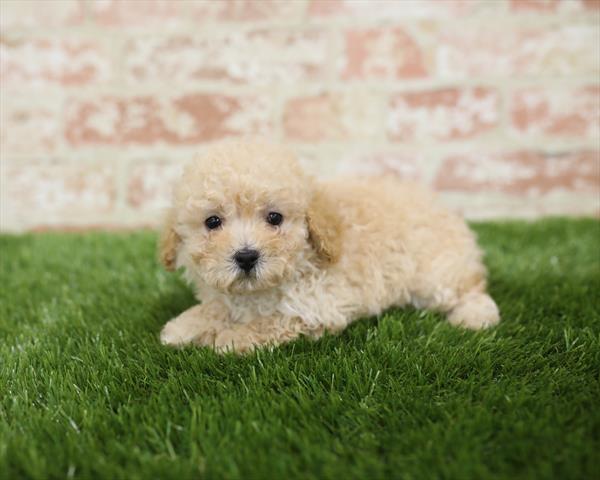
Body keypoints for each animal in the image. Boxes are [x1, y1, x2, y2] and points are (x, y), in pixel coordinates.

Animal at [157, 140, 500, 352]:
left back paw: (475, 315)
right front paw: (184, 326)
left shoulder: (319, 305)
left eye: (274, 217)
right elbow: (216, 307)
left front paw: (230, 338)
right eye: (212, 222)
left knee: (471, 288)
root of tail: (446, 211)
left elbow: (274, 321)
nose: (246, 256)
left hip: (435, 274)